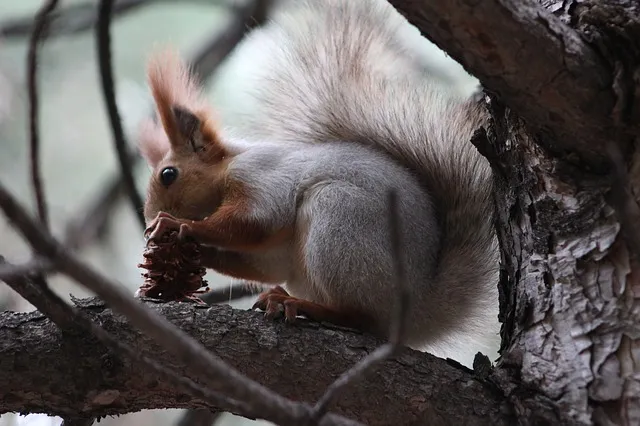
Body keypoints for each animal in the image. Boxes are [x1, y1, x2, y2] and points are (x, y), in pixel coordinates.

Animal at [139, 0, 500, 366]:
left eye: (168, 174)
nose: (150, 216)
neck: (229, 166)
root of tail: (418, 311)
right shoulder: (273, 252)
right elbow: (263, 263)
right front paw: (195, 252)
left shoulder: (263, 177)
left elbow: (254, 222)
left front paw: (178, 225)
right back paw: (280, 297)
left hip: (340, 218)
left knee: (362, 318)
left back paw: (300, 305)